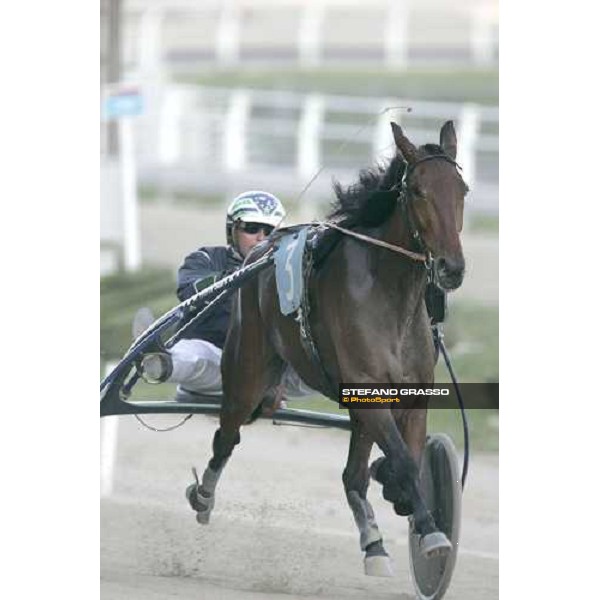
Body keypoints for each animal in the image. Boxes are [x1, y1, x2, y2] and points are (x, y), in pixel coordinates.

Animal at [188, 120, 468, 576]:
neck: (389, 296)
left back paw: (374, 544)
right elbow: (404, 462)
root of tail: (259, 253)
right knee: (226, 436)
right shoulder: (370, 394)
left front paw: (403, 500)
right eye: (418, 190)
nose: (451, 268)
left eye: (462, 189)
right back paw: (204, 497)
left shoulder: (409, 398)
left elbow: (401, 461)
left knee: (351, 476)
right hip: (246, 371)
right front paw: (432, 533)